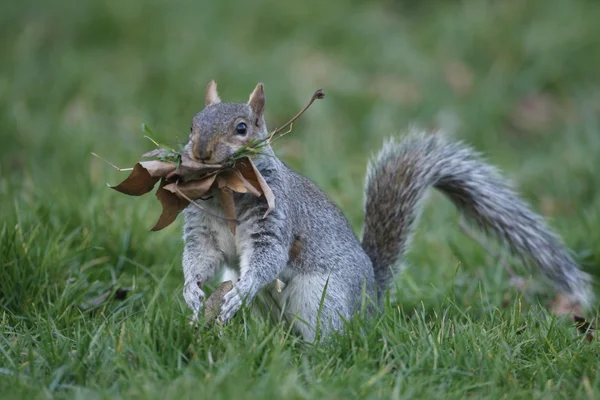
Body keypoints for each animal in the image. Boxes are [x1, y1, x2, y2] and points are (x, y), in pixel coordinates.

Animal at [180, 81, 592, 340]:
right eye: (192, 124)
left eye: (242, 128)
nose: (200, 151)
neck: (226, 194)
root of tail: (371, 301)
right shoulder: (203, 229)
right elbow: (201, 257)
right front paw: (192, 292)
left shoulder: (276, 218)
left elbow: (269, 258)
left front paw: (241, 290)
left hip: (324, 298)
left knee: (328, 335)